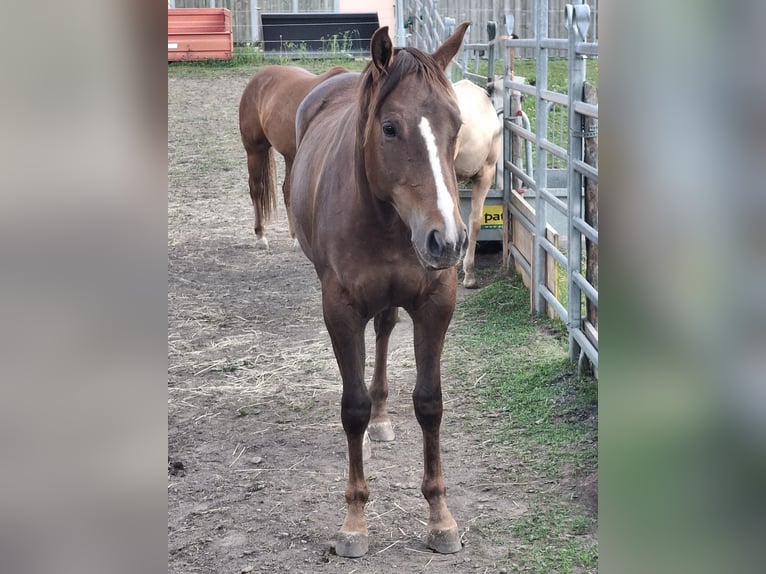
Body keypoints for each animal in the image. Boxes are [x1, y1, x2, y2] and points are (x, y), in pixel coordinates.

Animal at [238, 64, 348, 249]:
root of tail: (258, 78)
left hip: (290, 157)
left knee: (287, 191)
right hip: (254, 150)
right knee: (257, 189)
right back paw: (261, 235)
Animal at [290, 23, 470, 558]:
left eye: (457, 125)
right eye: (389, 128)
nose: (447, 239)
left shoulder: (436, 304)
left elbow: (429, 402)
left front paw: (440, 517)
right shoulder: (340, 310)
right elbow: (352, 408)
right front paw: (354, 522)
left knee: (387, 329)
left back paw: (384, 418)